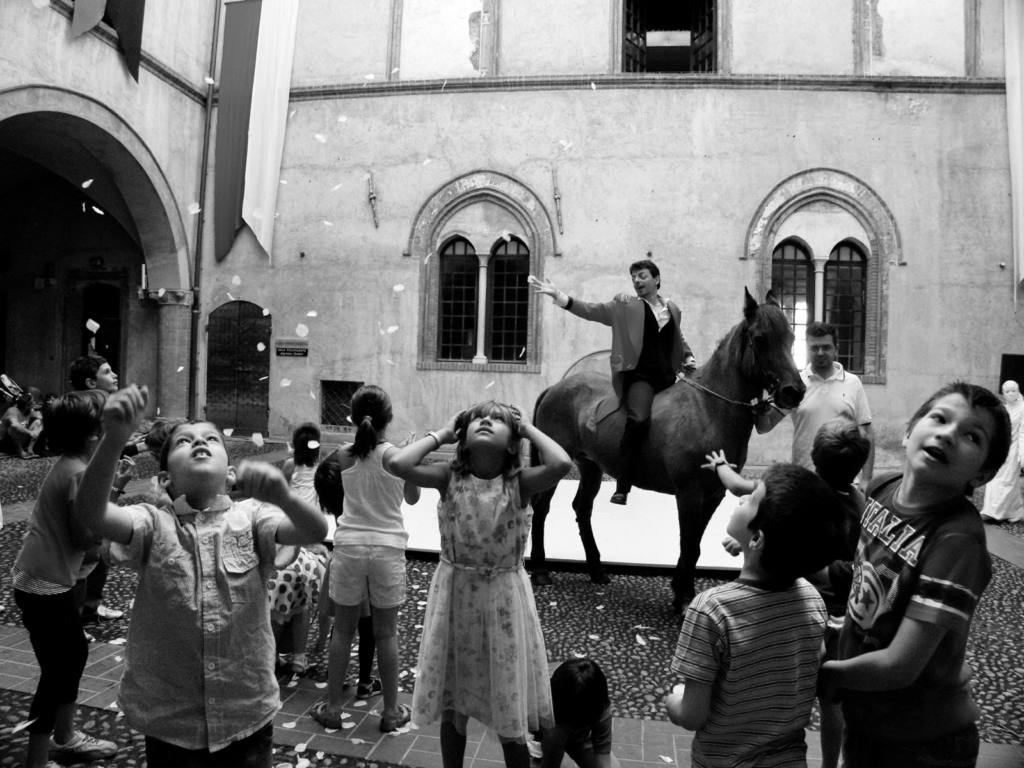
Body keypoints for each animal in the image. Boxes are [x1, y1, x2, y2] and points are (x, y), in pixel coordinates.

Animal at [532, 288, 802, 614]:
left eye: (790, 337)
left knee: (582, 509)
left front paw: (680, 590)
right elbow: (688, 543)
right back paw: (540, 570)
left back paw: (597, 570)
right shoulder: (689, 494)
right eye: (761, 338)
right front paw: (684, 597)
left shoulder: (713, 494)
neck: (709, 410)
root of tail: (556, 387)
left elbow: (694, 544)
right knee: (541, 509)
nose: (794, 391)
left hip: (591, 467)